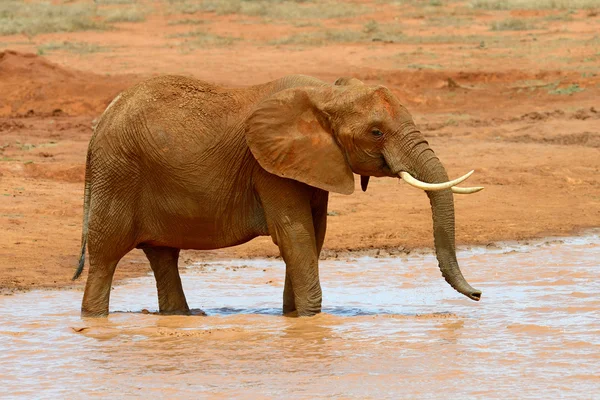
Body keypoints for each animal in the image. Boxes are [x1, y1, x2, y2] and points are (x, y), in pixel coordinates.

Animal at [72, 74, 482, 318]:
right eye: (377, 132)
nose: (479, 295)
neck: (325, 93)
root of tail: (103, 118)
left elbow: (313, 237)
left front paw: (295, 318)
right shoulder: (267, 167)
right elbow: (294, 235)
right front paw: (313, 318)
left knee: (163, 256)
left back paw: (181, 318)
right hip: (118, 174)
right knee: (107, 255)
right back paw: (94, 319)